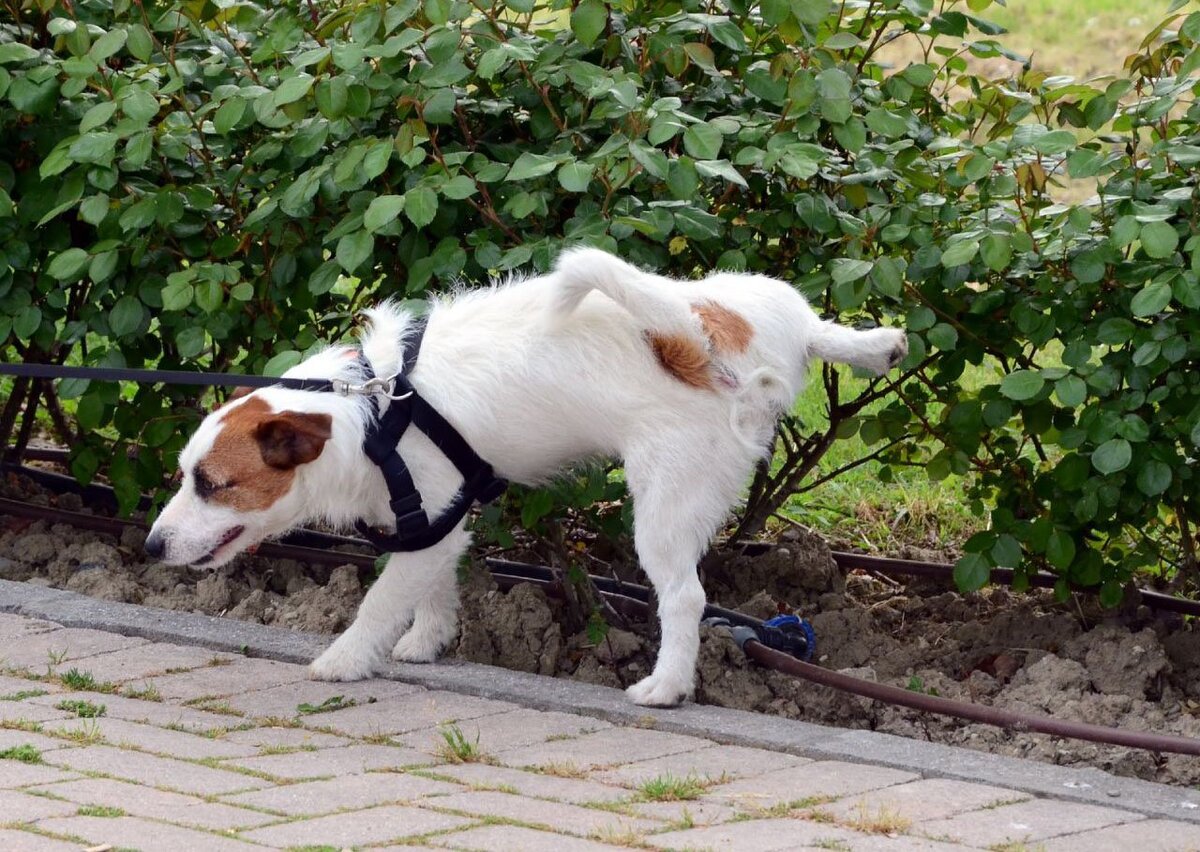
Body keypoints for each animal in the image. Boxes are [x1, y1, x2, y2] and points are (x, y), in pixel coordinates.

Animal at [145, 250, 902, 710]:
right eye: (185, 476)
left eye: (213, 484)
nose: (151, 548)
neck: (373, 408)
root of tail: (697, 337)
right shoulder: (439, 523)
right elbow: (434, 589)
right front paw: (426, 641)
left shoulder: (423, 518)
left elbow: (382, 601)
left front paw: (346, 658)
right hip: (757, 300)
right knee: (818, 328)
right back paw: (874, 344)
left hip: (664, 502)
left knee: (684, 597)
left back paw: (665, 685)